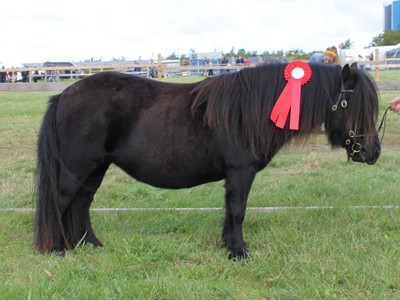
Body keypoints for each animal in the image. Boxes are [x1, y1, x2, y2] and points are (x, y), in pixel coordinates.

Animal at [35, 63, 382, 260]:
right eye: (352, 105)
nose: (372, 153)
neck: (251, 109)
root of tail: (63, 96)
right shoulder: (241, 172)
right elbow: (239, 211)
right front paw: (240, 253)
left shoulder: (234, 175)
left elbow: (230, 211)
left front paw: (229, 246)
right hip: (77, 168)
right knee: (61, 201)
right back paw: (57, 251)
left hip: (95, 169)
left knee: (81, 204)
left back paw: (91, 244)